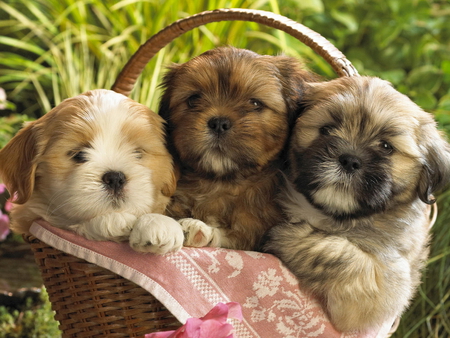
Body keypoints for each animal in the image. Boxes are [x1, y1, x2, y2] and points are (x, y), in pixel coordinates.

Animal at [0, 89, 183, 254]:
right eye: (79, 154)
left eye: (138, 153)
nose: (115, 178)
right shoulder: (30, 217)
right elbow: (69, 224)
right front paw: (115, 221)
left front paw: (159, 224)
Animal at [158, 46, 316, 250]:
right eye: (193, 99)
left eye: (255, 103)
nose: (218, 123)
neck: (220, 182)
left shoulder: (256, 234)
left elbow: (236, 236)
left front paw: (199, 228)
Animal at [262, 76, 450, 332]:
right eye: (326, 129)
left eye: (386, 147)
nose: (350, 160)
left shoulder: (385, 288)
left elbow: (343, 255)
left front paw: (287, 237)